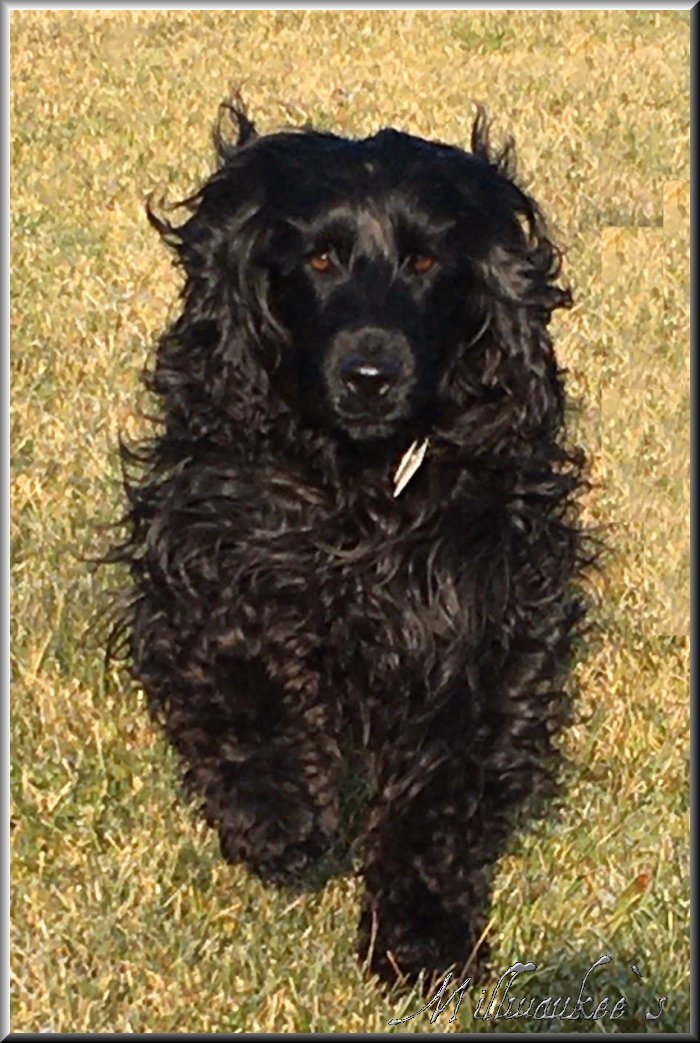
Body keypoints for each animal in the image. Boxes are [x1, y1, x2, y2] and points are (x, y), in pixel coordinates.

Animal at [112, 100, 591, 989]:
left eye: (427, 258)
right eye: (322, 256)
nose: (372, 375)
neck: (360, 484)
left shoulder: (487, 615)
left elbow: (443, 784)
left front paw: (422, 932)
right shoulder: (204, 544)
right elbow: (239, 661)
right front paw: (280, 814)